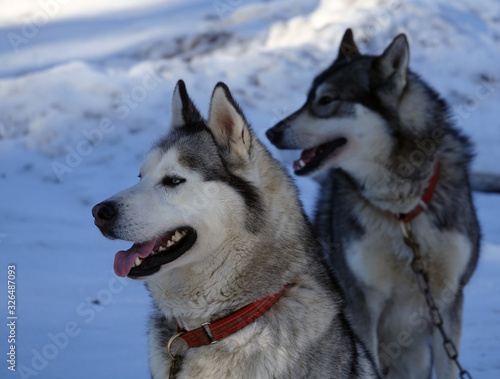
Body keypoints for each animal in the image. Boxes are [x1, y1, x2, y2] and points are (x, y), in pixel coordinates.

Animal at [266, 28, 480, 378]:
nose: (272, 132)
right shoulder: (362, 302)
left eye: (326, 100)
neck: (402, 211)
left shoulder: (448, 300)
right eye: (308, 98)